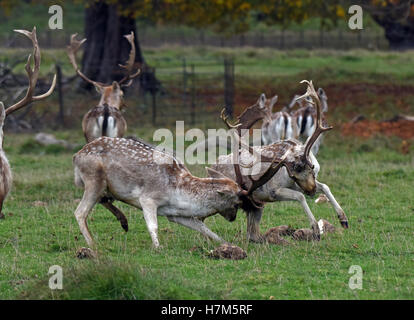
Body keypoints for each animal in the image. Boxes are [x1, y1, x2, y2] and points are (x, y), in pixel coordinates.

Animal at [210, 80, 350, 242]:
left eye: (312, 167)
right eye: (293, 175)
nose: (311, 191)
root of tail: (213, 164)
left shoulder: (300, 185)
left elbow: (325, 186)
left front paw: (343, 219)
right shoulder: (274, 191)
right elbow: (300, 197)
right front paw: (315, 230)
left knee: (252, 231)